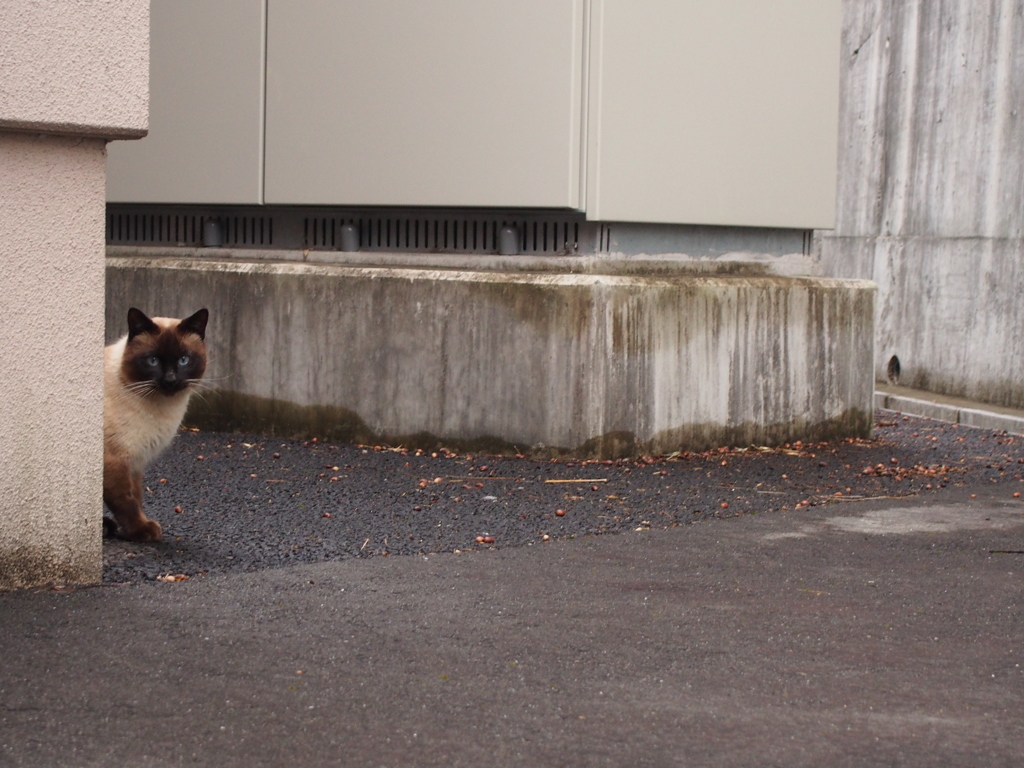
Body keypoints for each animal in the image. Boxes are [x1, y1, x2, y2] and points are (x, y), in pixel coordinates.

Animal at [103, 307, 207, 540]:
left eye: (183, 360)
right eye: (153, 361)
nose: (170, 380)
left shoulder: (135, 463)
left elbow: (137, 497)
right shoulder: (116, 460)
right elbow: (127, 501)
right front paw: (141, 531)